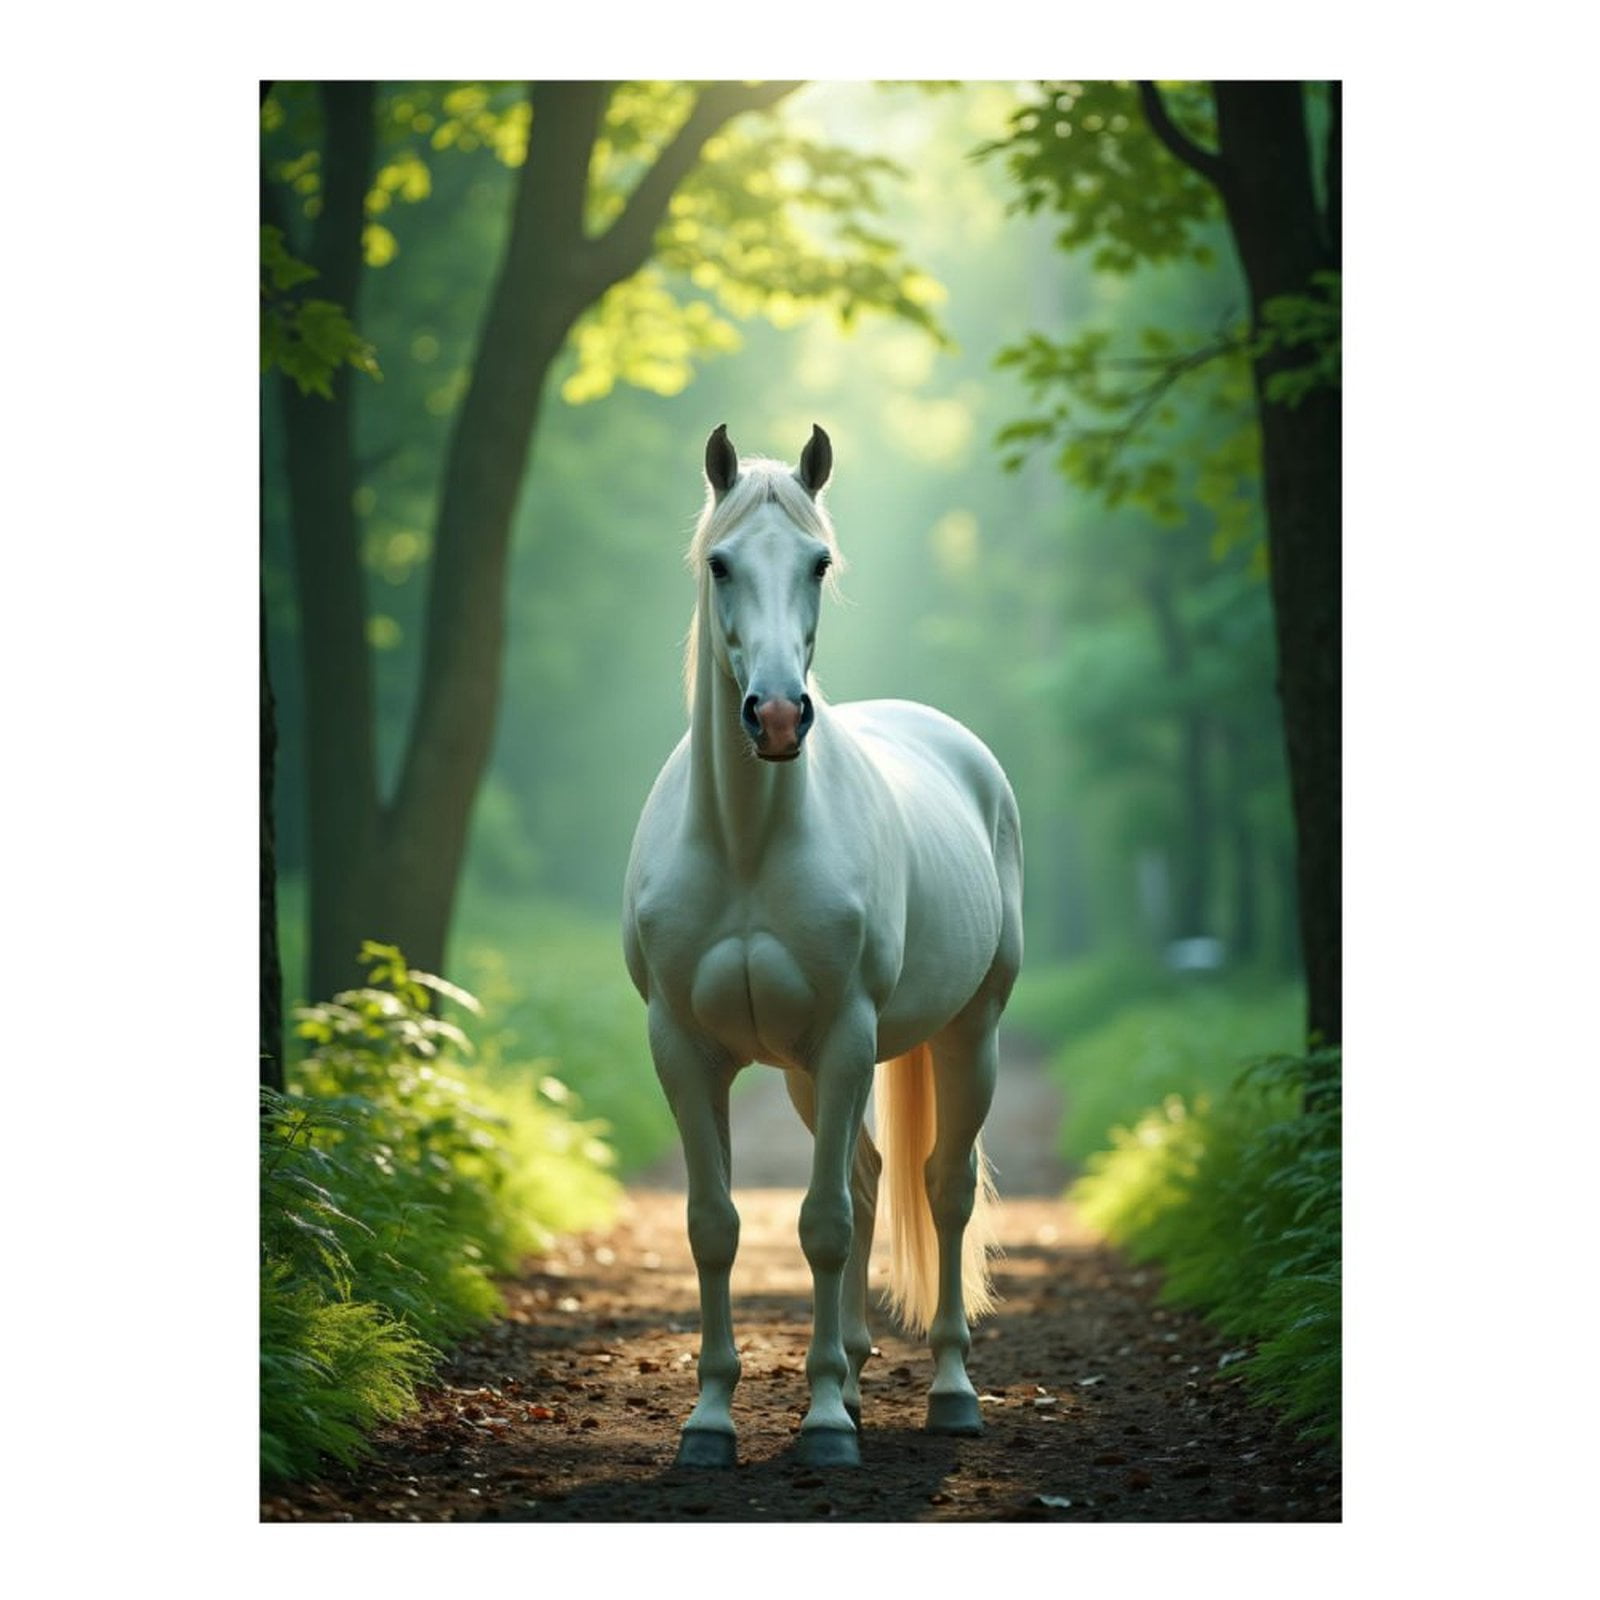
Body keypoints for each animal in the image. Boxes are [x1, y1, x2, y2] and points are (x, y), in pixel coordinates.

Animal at [622, 424, 1023, 1469]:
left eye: (819, 561)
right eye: (720, 563)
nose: (774, 716)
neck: (746, 842)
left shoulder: (847, 1037)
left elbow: (825, 1227)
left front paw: (827, 1425)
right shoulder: (684, 1049)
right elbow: (716, 1225)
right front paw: (710, 1420)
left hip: (969, 1033)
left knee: (941, 1190)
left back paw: (949, 1391)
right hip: (807, 1074)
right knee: (873, 1176)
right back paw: (850, 1363)